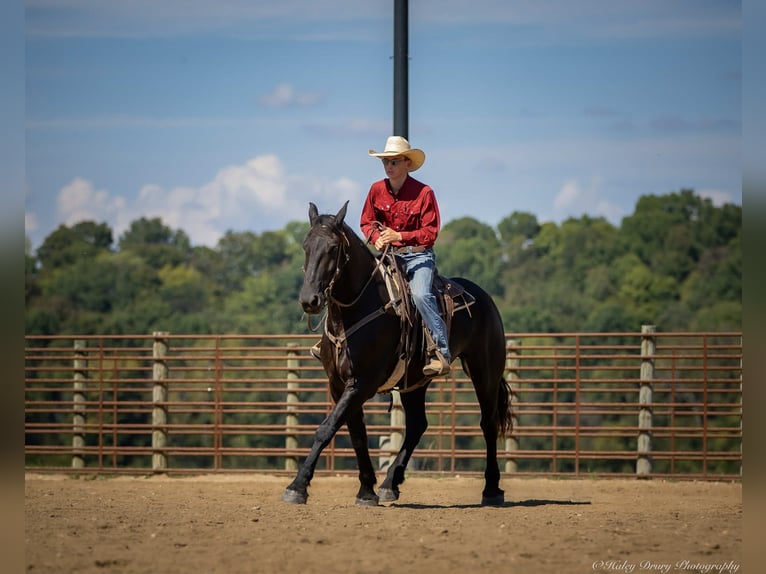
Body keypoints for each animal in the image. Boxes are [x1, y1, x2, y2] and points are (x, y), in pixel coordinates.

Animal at [282, 201, 512, 506]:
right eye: (306, 246)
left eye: (332, 247)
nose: (310, 300)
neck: (358, 309)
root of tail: (484, 298)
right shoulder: (340, 385)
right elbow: (356, 435)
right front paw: (367, 490)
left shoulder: (362, 384)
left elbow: (326, 429)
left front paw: (297, 486)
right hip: (414, 382)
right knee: (417, 426)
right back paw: (390, 482)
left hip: (485, 372)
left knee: (488, 423)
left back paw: (492, 489)